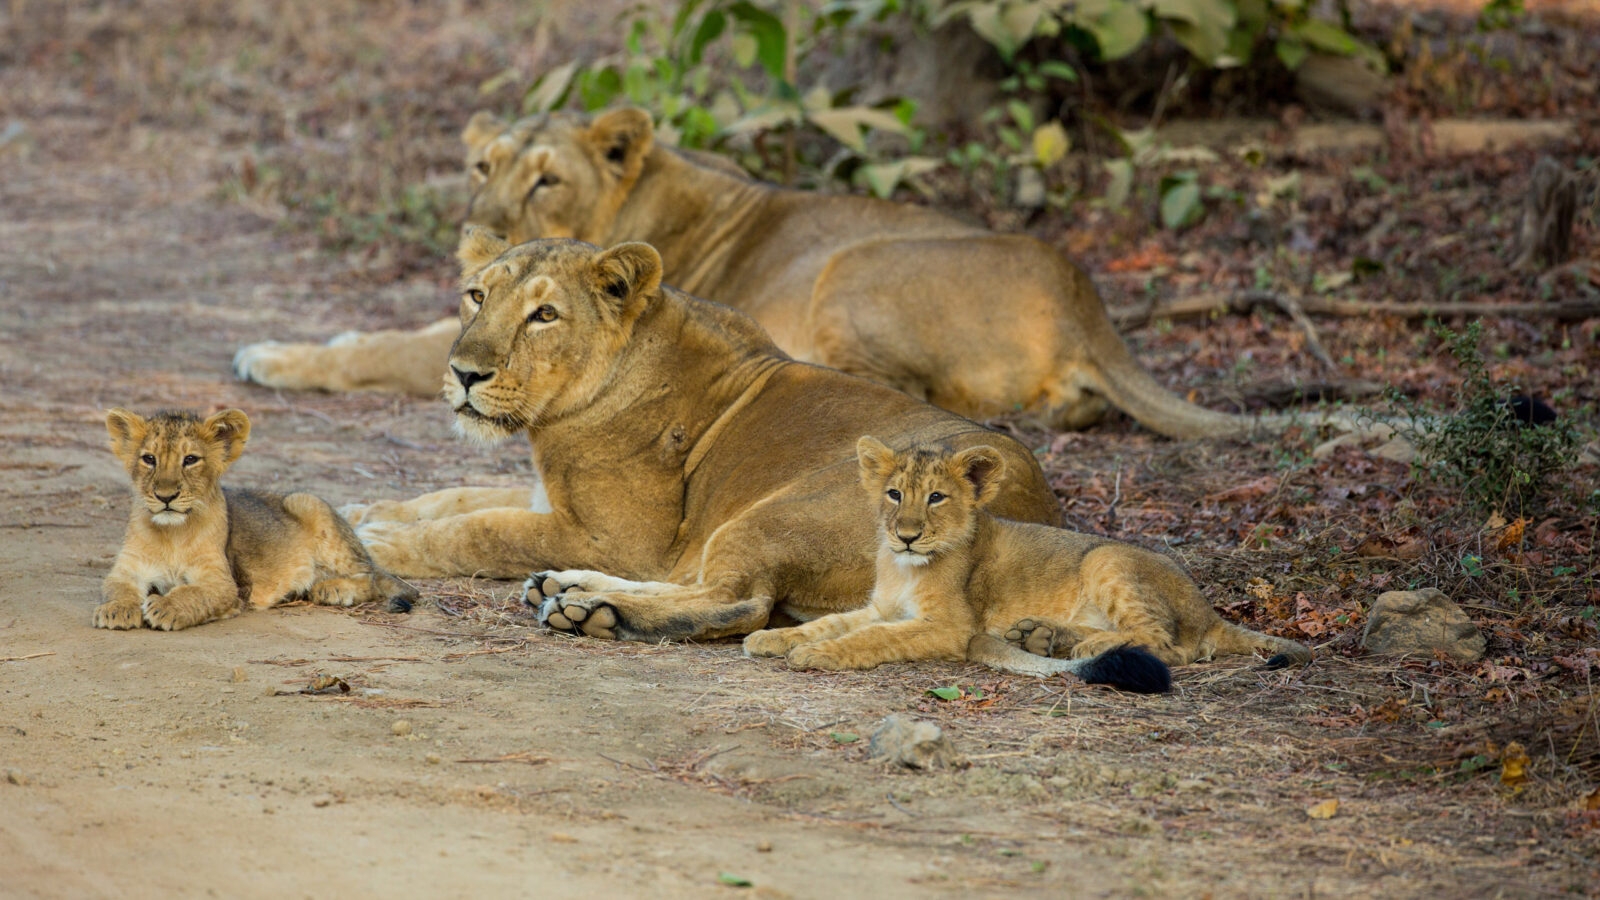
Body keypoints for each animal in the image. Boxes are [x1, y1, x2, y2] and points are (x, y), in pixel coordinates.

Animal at [95, 408, 417, 631]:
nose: (165, 496)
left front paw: (166, 608)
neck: (171, 534)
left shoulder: (224, 583)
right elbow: (116, 586)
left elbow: (195, 593)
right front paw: (116, 609)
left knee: (370, 577)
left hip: (308, 503)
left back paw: (332, 588)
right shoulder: (126, 568)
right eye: (149, 459)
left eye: (190, 460)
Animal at [234, 108, 1254, 439]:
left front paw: (271, 357)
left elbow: (385, 346)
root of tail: (1085, 297)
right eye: (482, 165)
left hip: (852, 265)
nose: (479, 227)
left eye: (548, 179)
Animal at [346, 230, 1062, 642]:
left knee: (738, 603)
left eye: (544, 314)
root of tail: (1036, 516)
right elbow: (455, 496)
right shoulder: (560, 504)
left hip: (779, 512)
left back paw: (592, 612)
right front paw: (364, 510)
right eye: (476, 295)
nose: (464, 373)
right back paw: (568, 589)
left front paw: (376, 542)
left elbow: (480, 528)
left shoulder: (621, 538)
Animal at [742, 436, 1310, 687]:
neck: (904, 567)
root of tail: (1210, 611)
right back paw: (1044, 637)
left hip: (1107, 558)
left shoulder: (951, 627)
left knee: (1171, 646)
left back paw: (1084, 645)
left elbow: (869, 638)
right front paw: (773, 638)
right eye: (894, 493)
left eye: (937, 498)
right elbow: (832, 622)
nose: (906, 536)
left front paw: (819, 655)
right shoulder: (880, 606)